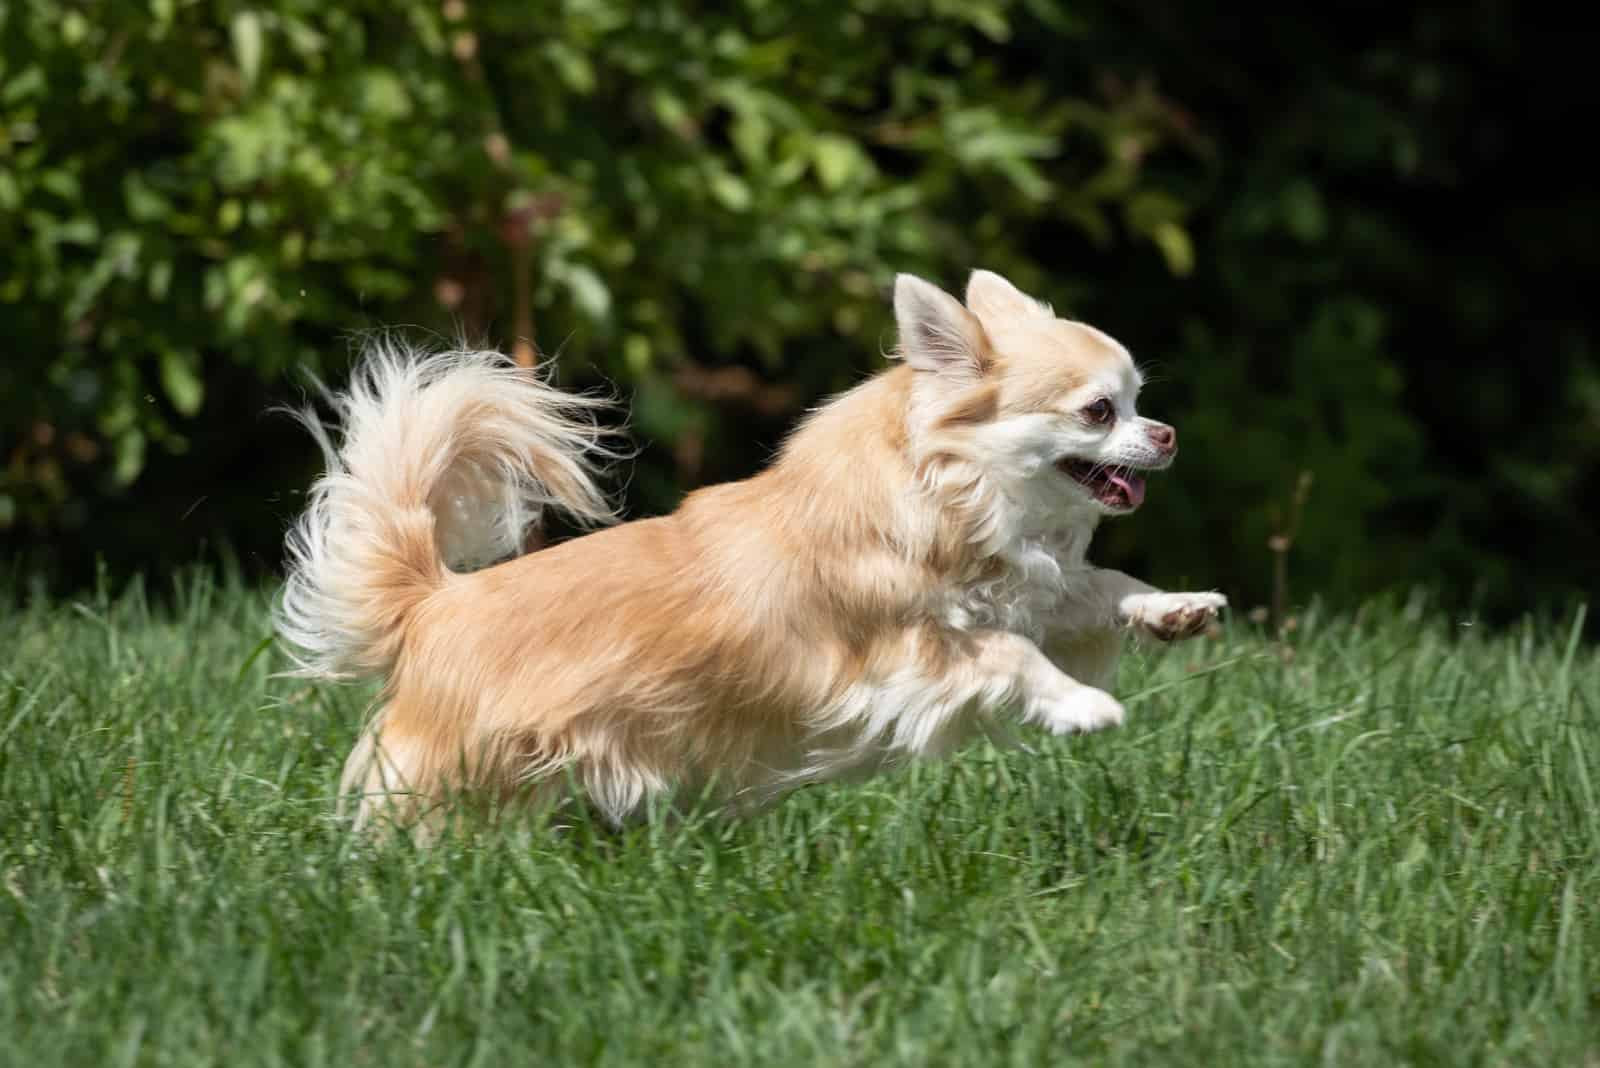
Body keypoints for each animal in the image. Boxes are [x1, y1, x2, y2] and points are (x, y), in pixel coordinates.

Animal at [278, 271, 1222, 831]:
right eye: (1099, 410)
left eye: (1139, 401)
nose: (1168, 433)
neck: (950, 497)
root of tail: (435, 602)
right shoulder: (905, 657)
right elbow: (1013, 657)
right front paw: (1084, 707)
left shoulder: (1031, 592)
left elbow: (1096, 587)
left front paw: (1176, 610)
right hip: (456, 773)